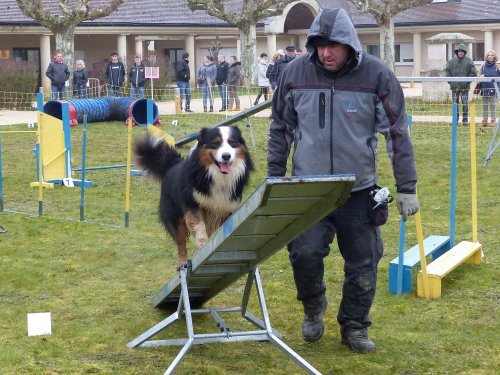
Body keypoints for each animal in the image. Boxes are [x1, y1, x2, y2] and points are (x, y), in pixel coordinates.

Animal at [135, 126, 254, 270]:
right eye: (215, 143)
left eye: (232, 142)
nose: (226, 156)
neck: (217, 175)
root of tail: (174, 164)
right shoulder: (191, 204)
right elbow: (199, 226)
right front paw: (202, 245)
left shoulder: (228, 208)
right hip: (174, 216)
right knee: (180, 243)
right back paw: (182, 263)